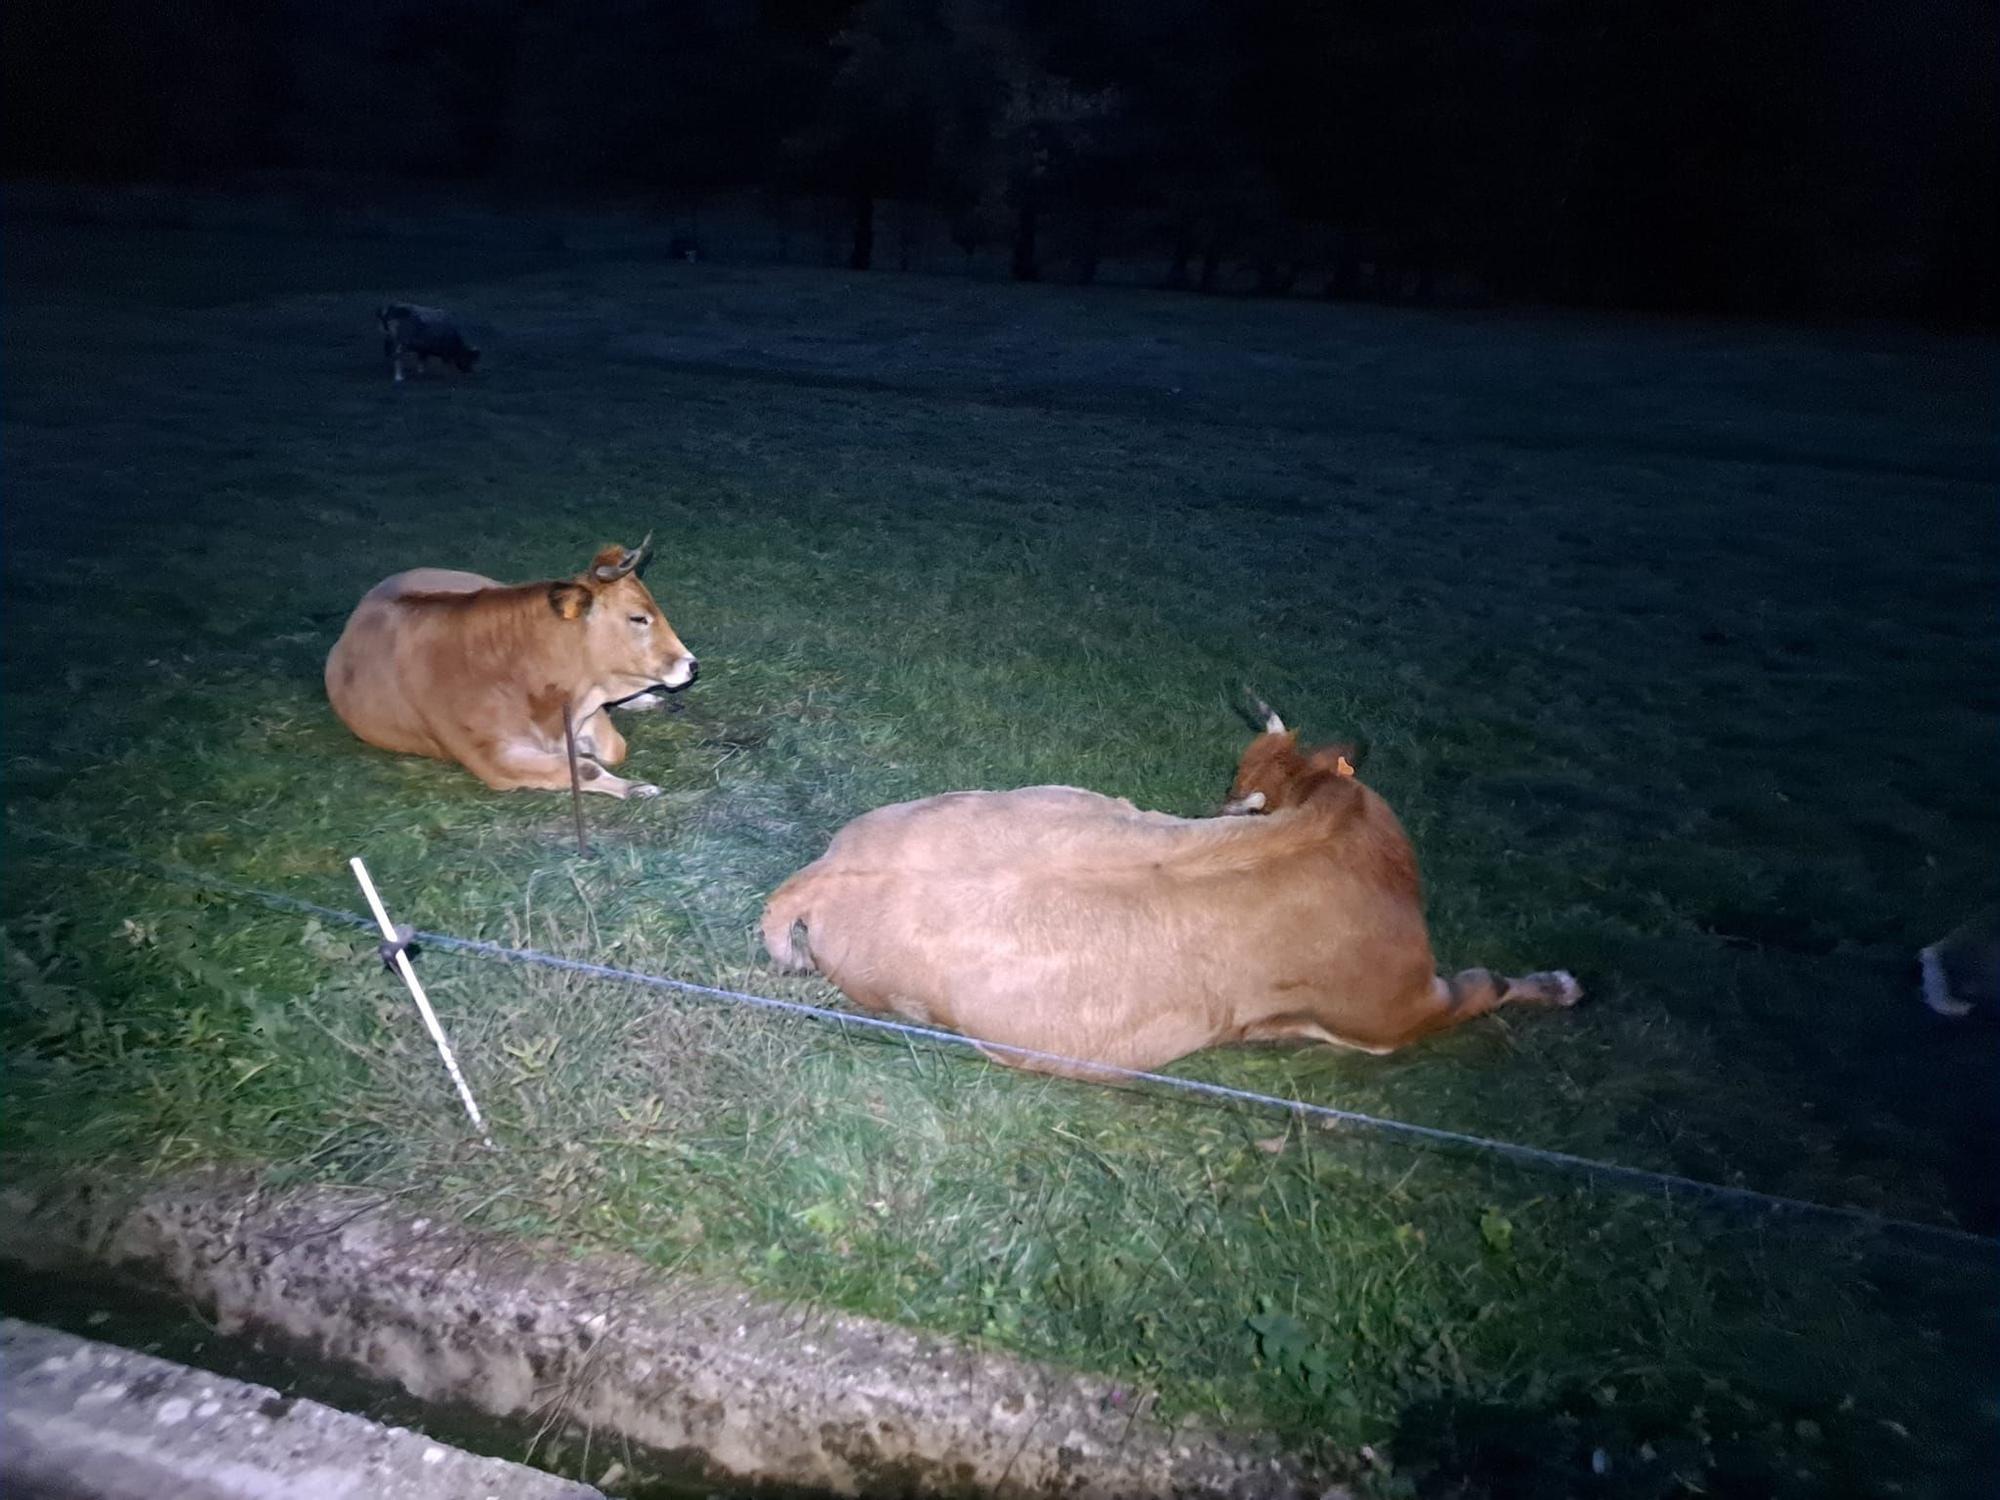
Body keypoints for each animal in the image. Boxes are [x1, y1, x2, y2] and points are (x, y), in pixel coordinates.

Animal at [326, 536, 696, 800]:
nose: (692, 665)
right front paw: (634, 787)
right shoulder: (491, 758)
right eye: (638, 618)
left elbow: (612, 747)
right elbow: (585, 768)